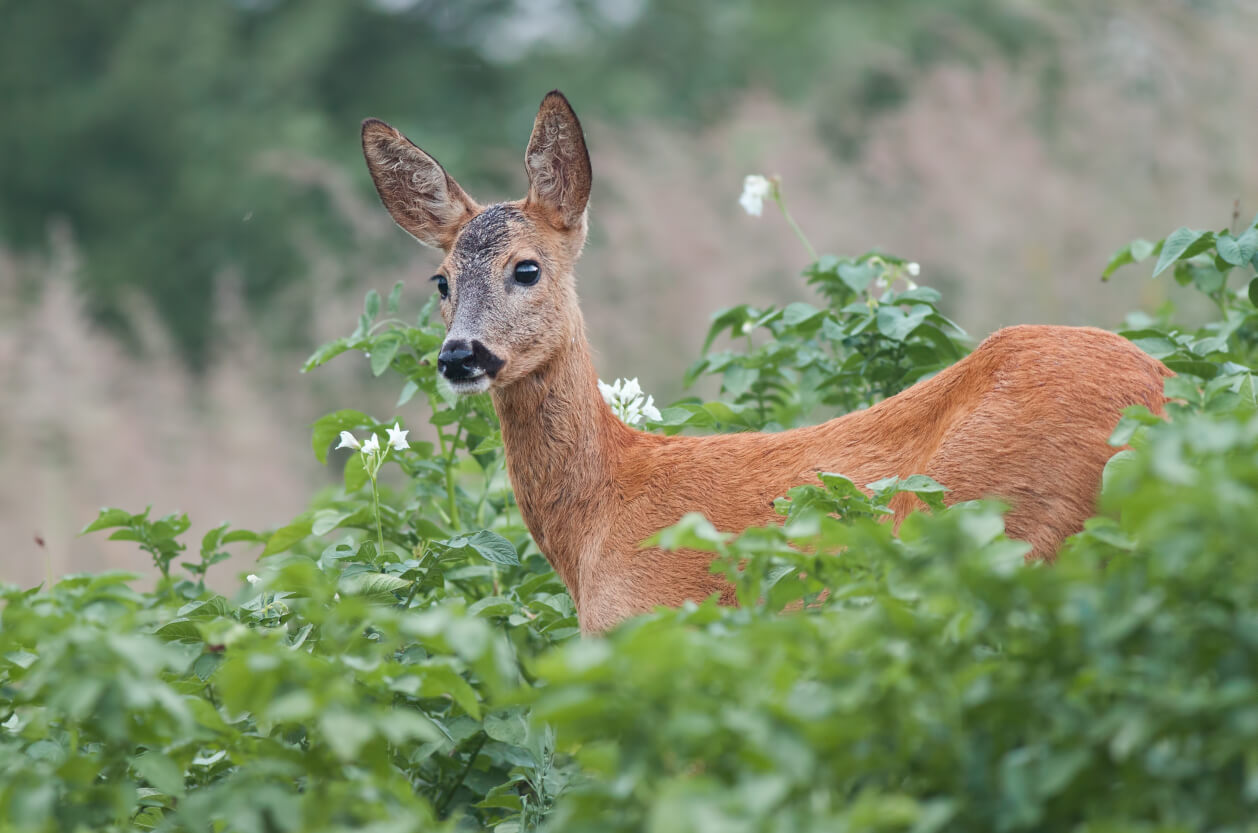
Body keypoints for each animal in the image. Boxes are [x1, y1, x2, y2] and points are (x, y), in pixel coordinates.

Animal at [359, 91, 1172, 636]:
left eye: (526, 269)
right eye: (440, 281)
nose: (460, 355)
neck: (599, 517)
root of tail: (1166, 400)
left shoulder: (659, 628)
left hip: (1011, 528)